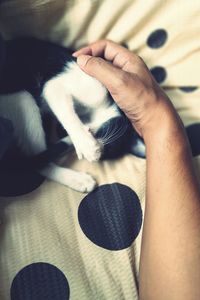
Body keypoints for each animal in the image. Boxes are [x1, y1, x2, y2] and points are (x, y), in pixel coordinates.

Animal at [0, 38, 145, 192]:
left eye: (109, 151)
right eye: (111, 146)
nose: (100, 153)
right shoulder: (60, 85)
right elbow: (66, 112)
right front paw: (87, 145)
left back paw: (78, 180)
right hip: (22, 97)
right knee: (37, 161)